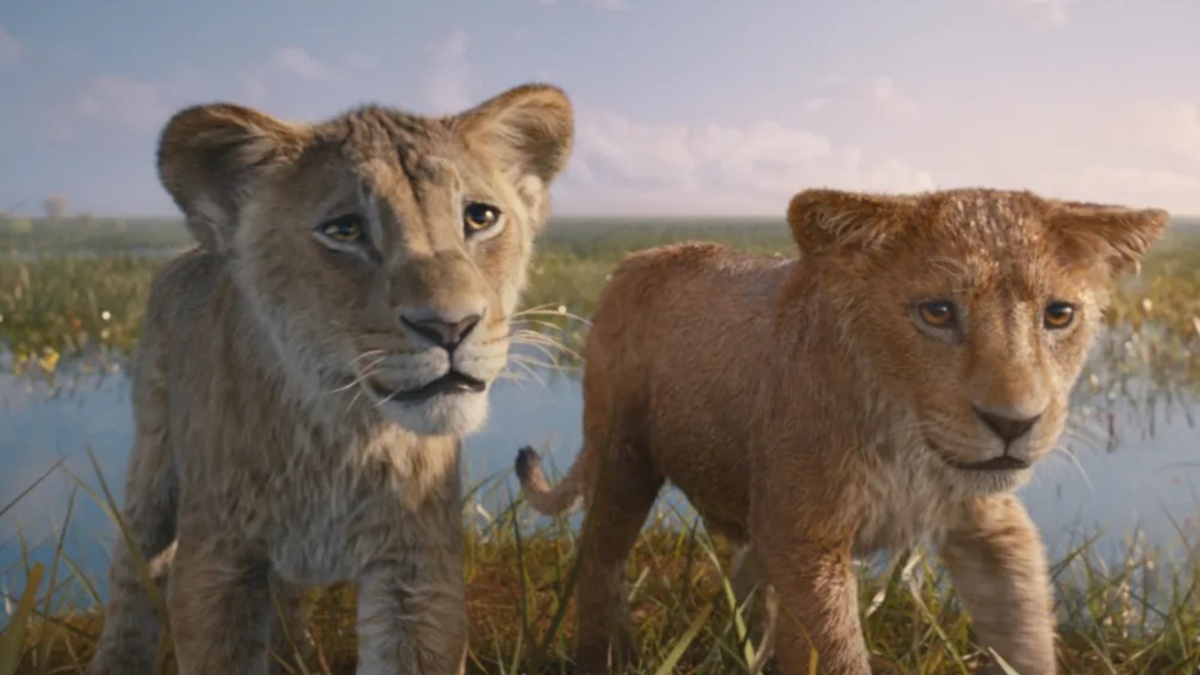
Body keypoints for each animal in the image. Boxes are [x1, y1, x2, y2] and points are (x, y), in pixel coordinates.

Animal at [85, 83, 574, 675]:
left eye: (480, 217)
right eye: (345, 229)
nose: (451, 327)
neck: (340, 435)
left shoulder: (416, 572)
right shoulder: (217, 567)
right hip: (152, 461)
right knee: (133, 569)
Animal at [515, 187, 1168, 675]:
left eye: (1059, 315)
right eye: (937, 312)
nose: (1014, 423)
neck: (909, 445)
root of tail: (636, 258)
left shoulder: (990, 525)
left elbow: (1026, 636)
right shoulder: (809, 538)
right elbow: (835, 654)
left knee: (749, 578)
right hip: (622, 455)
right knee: (599, 558)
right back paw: (605, 657)